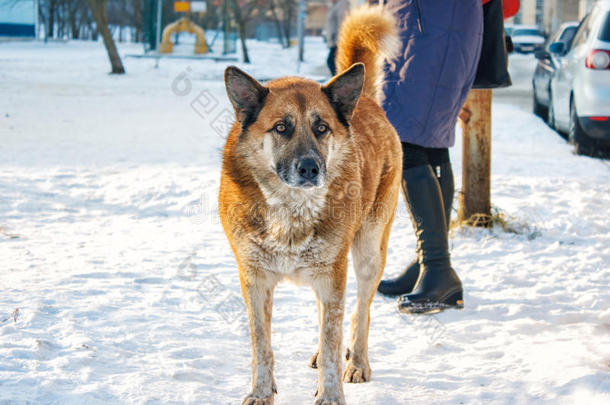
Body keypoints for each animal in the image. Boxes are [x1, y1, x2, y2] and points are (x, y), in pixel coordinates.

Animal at [217, 7, 400, 404]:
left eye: (321, 128)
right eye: (281, 128)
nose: (310, 168)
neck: (290, 210)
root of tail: (365, 101)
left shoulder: (332, 275)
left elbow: (333, 341)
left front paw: (330, 395)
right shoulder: (255, 279)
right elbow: (262, 344)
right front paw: (261, 391)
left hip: (367, 253)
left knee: (359, 313)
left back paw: (357, 361)